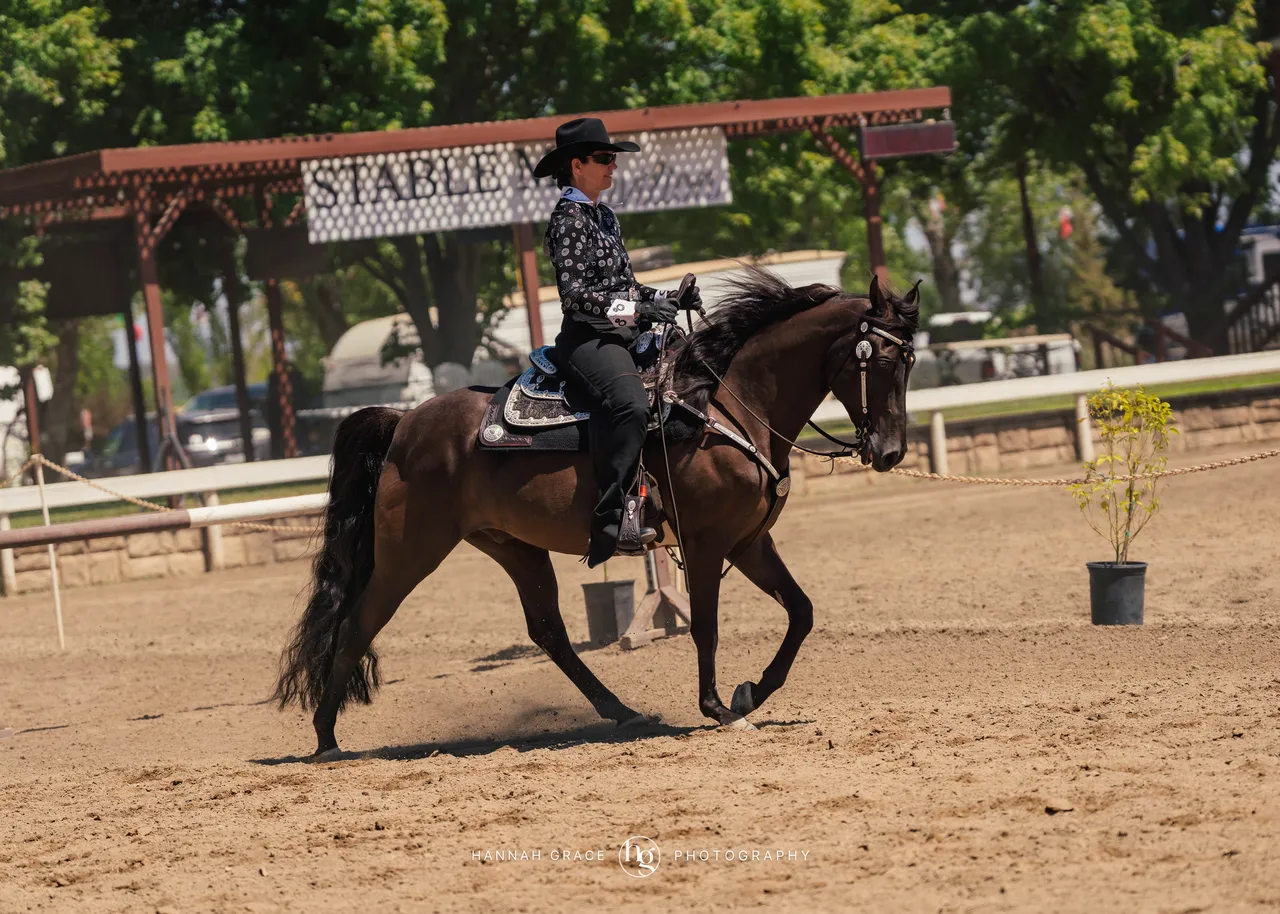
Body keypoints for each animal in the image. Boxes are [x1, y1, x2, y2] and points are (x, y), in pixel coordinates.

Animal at [274, 268, 919, 757]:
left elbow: (801, 612)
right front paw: (717, 706)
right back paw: (326, 739)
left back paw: (622, 710)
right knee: (358, 622)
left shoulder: (749, 542)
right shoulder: (707, 544)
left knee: (549, 631)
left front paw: (749, 694)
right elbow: (706, 625)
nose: (890, 452)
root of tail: (404, 420)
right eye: (880, 360)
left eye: (910, 363)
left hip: (513, 546)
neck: (725, 407)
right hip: (409, 552)